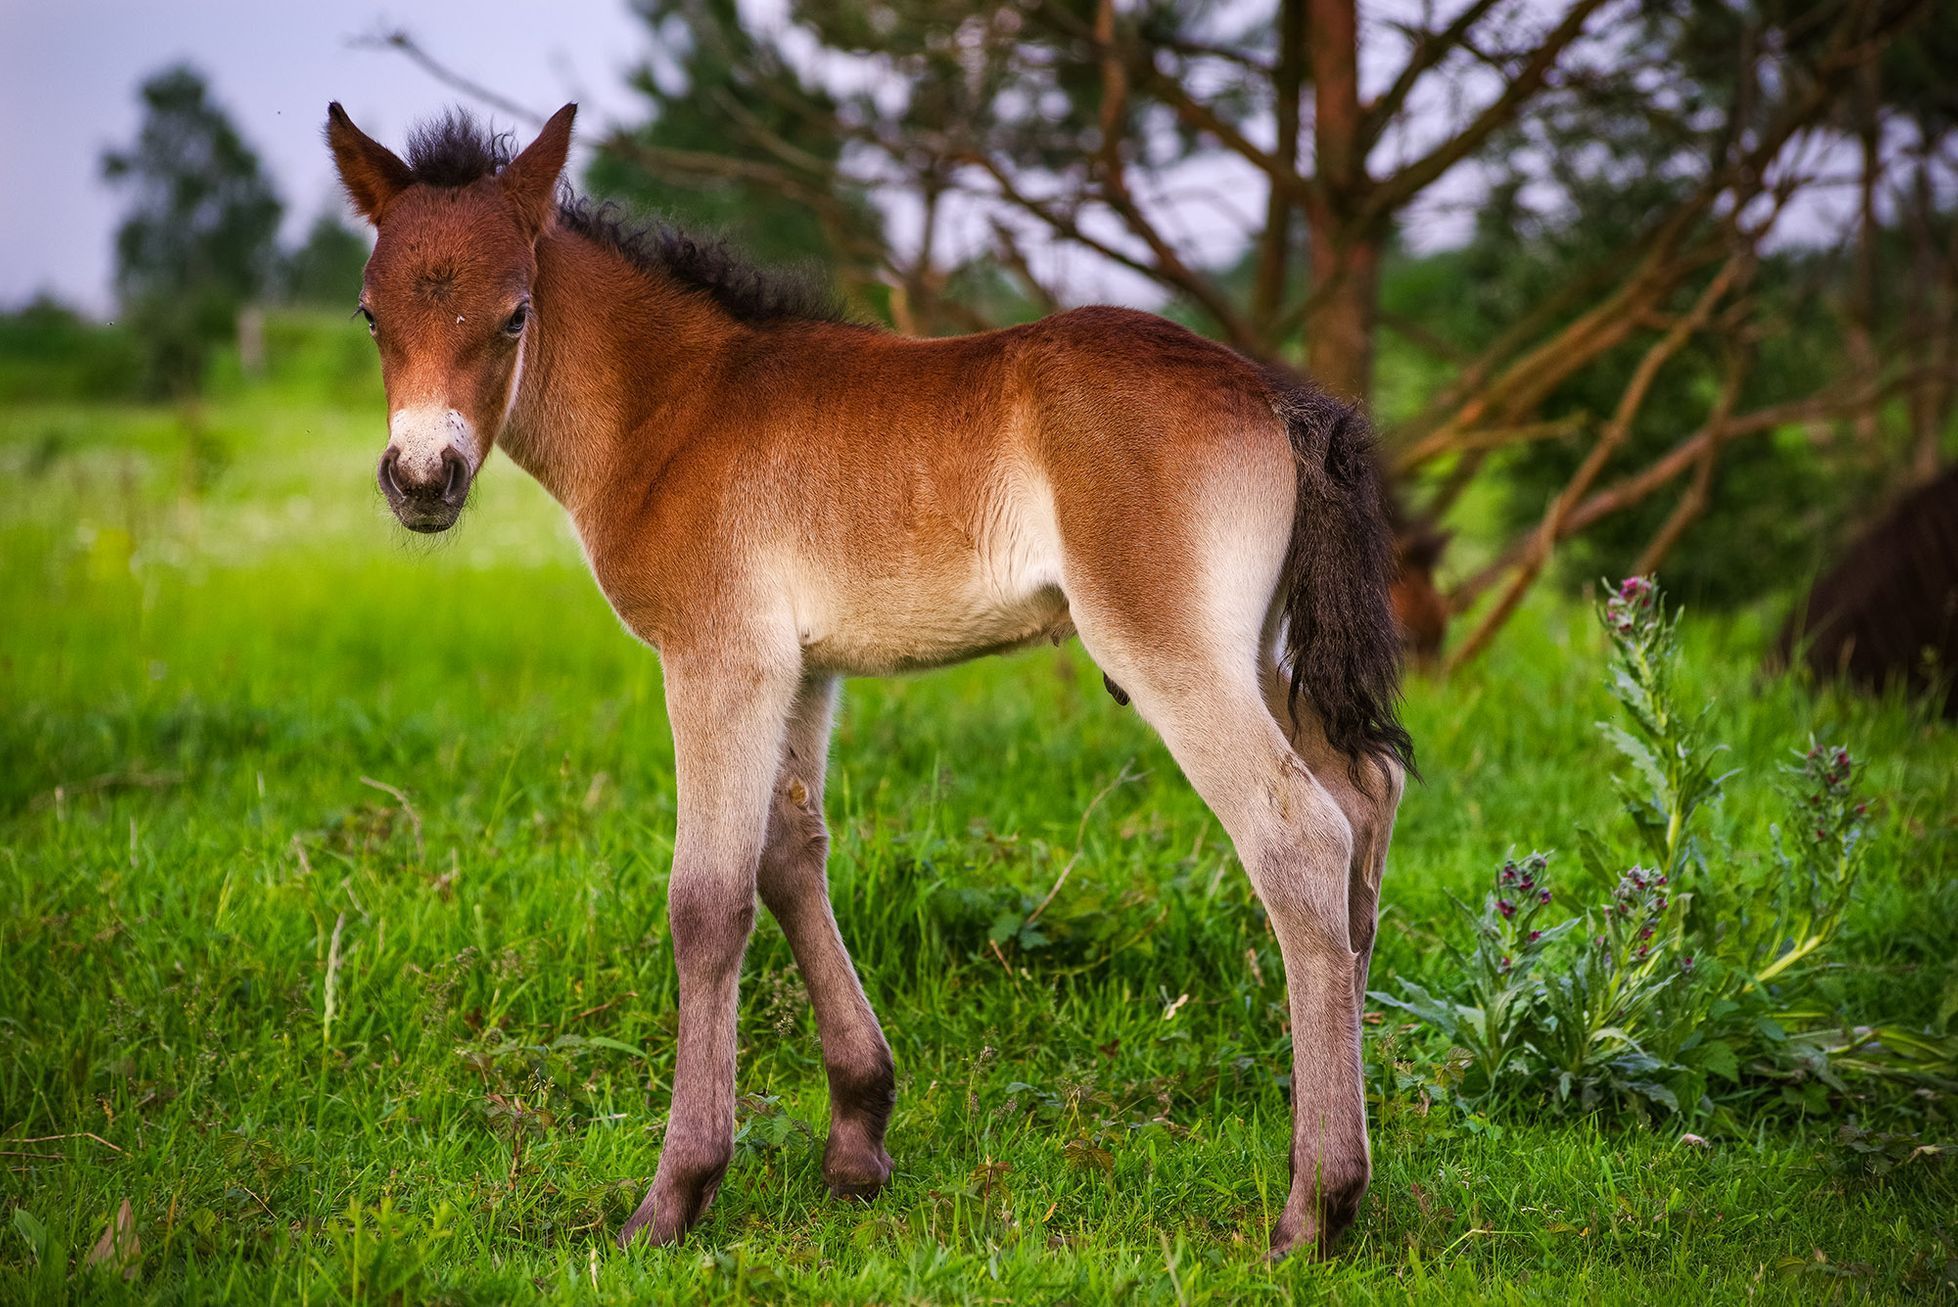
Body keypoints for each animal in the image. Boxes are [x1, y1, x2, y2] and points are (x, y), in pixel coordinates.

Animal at [328, 99, 1417, 1252]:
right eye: (370, 314)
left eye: (515, 315)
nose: (423, 479)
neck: (675, 408)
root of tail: (1274, 395)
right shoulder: (802, 669)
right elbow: (789, 855)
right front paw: (857, 1137)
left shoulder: (720, 657)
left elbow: (706, 901)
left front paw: (674, 1194)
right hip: (1259, 650)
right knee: (1365, 799)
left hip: (1171, 652)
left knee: (1298, 837)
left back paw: (1315, 1201)